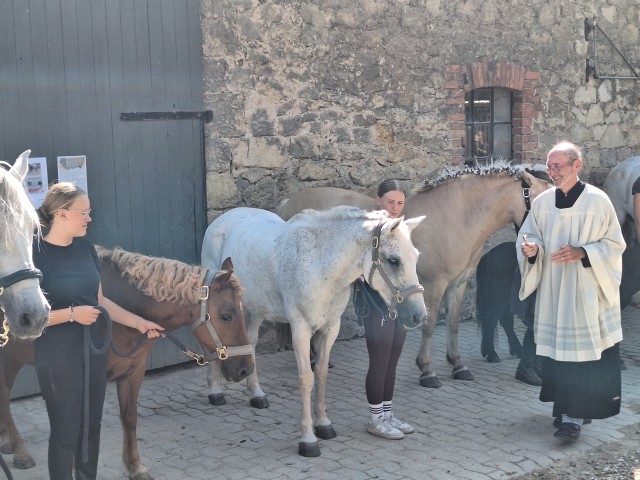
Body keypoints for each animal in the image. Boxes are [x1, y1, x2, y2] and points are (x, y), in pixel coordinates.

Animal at [0, 248, 254, 480]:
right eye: (226, 316)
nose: (246, 369)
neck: (121, 307)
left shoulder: (134, 370)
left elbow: (129, 417)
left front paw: (135, 466)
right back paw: (20, 451)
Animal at [202, 206, 428, 458]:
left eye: (416, 257)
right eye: (393, 260)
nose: (418, 315)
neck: (320, 267)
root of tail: (224, 218)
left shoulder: (330, 329)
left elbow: (321, 374)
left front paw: (324, 425)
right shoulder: (300, 330)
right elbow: (307, 379)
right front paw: (308, 439)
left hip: (255, 309)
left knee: (249, 342)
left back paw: (257, 394)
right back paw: (215, 391)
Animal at [276, 163, 552, 388]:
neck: (457, 218)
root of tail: (288, 204)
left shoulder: (459, 284)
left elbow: (453, 323)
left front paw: (458, 365)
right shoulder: (434, 286)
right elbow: (428, 326)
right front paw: (427, 371)